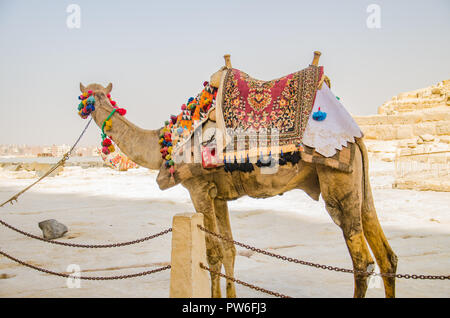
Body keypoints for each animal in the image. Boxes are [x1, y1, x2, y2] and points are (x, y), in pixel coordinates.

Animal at [80, 52, 398, 298]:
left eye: (89, 98)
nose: (87, 108)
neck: (167, 145)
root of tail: (356, 135)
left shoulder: (198, 189)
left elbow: (213, 254)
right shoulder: (218, 195)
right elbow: (230, 249)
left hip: (337, 182)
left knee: (361, 261)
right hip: (361, 184)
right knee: (386, 255)